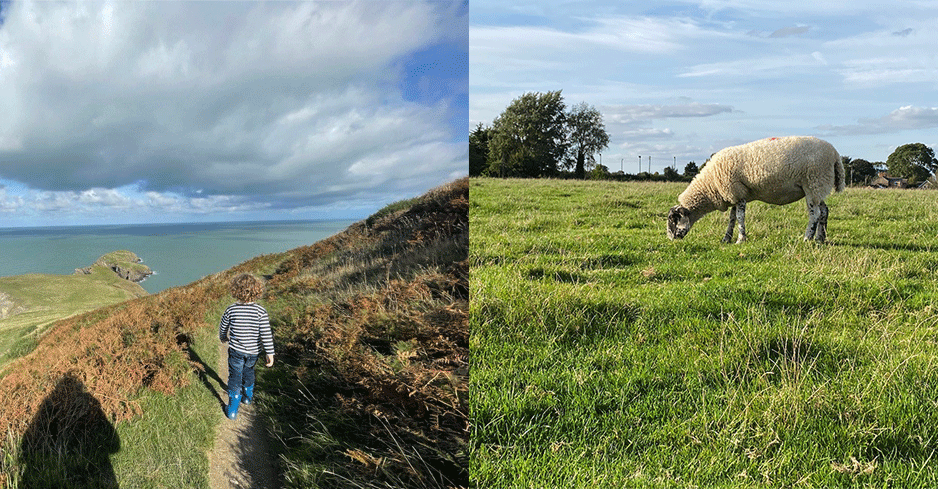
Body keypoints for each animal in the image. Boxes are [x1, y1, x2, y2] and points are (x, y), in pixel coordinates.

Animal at [660, 136, 844, 243]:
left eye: (673, 219)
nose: (671, 239)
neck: (710, 184)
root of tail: (835, 154)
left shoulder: (737, 193)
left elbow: (740, 217)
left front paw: (741, 239)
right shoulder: (734, 194)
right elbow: (732, 218)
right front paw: (726, 238)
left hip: (813, 182)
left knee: (815, 214)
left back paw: (807, 238)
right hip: (820, 186)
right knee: (824, 211)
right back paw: (820, 238)